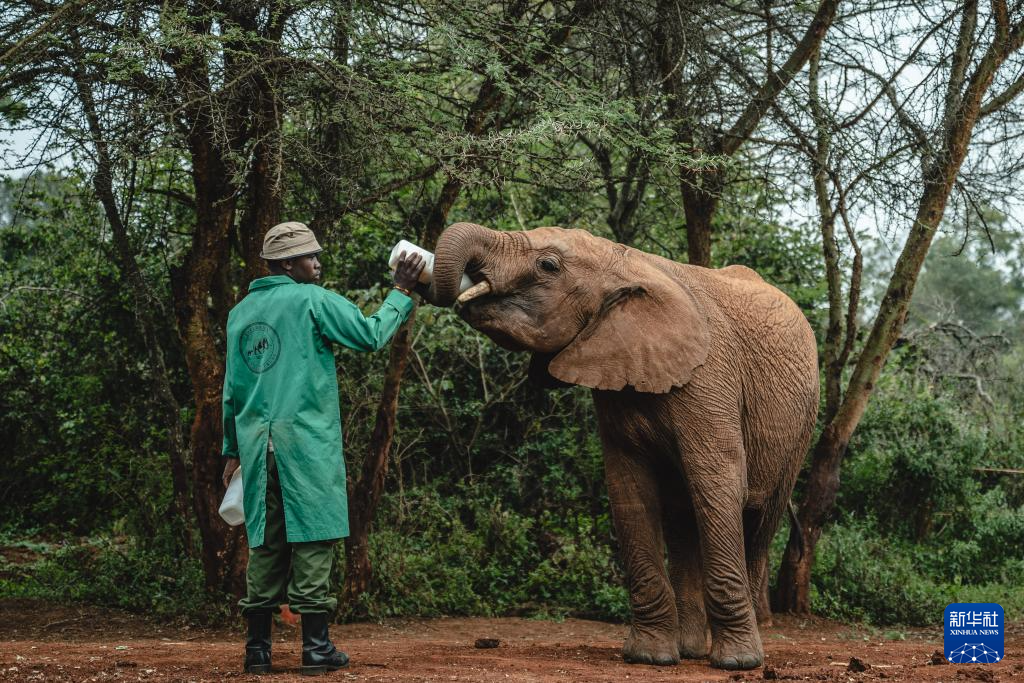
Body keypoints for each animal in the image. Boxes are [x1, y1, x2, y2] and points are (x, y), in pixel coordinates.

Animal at [428, 222, 819, 671]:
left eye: (548, 266)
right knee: (683, 518)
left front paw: (735, 664)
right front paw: (649, 657)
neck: (627, 261)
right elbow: (630, 493)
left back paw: (745, 654)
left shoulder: (708, 379)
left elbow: (718, 486)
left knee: (758, 520)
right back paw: (691, 651)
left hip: (799, 429)